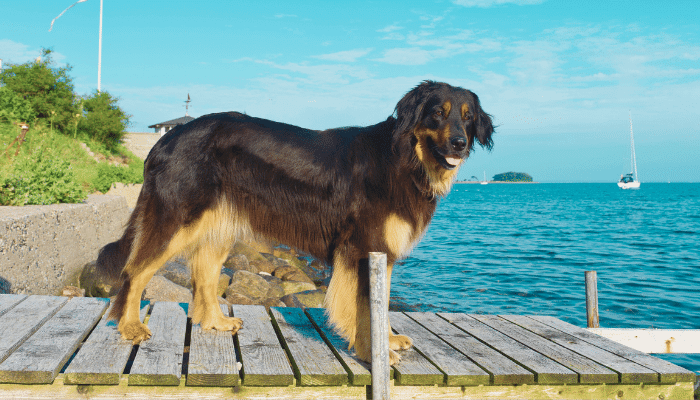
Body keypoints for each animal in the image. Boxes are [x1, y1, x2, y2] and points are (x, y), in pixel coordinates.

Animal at [97, 79, 492, 364]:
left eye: (467, 117)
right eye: (438, 113)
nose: (459, 143)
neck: (405, 157)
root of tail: (165, 141)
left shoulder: (381, 252)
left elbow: (379, 305)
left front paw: (388, 340)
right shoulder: (363, 247)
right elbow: (366, 308)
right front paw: (371, 354)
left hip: (219, 225)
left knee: (204, 277)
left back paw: (216, 322)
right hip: (176, 219)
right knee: (136, 270)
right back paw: (129, 326)